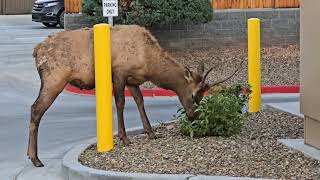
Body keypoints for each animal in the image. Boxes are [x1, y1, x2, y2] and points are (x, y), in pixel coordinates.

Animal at [28, 24, 241, 167]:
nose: (193, 116)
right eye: (193, 94)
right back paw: (35, 158)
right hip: (55, 78)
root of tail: (36, 50)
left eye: (203, 95)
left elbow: (140, 101)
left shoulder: (132, 80)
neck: (148, 63)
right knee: (36, 109)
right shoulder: (119, 72)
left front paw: (151, 133)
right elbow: (120, 103)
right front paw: (124, 138)